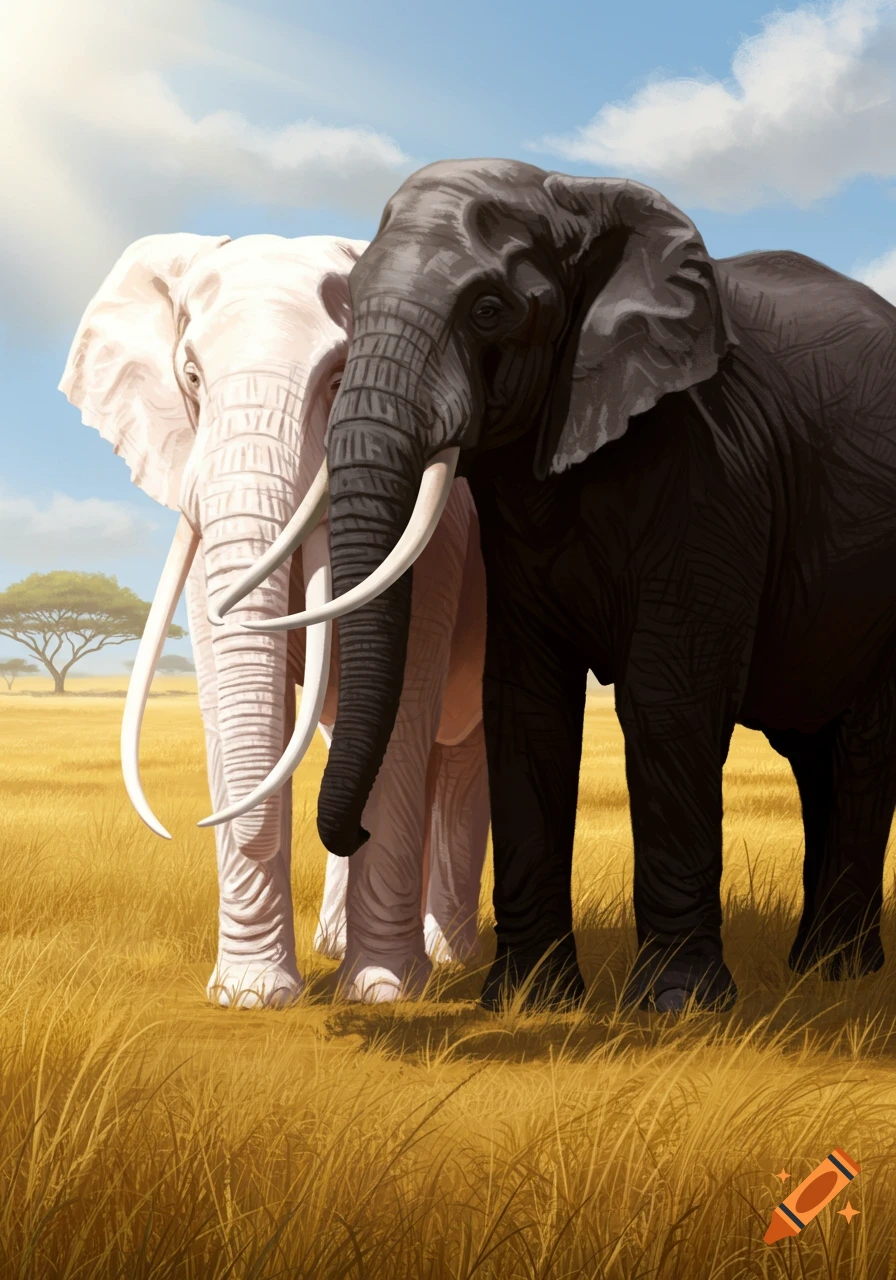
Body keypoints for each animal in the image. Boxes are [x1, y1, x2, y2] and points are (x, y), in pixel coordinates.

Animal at [59, 232, 489, 1007]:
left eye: (340, 378)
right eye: (191, 378)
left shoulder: (434, 533)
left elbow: (404, 701)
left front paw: (382, 994)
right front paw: (251, 996)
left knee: (459, 751)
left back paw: (451, 958)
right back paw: (343, 947)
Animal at [225, 158, 896, 1014]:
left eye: (488, 309)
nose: (357, 832)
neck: (576, 192)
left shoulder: (711, 474)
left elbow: (668, 702)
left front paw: (676, 1009)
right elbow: (525, 705)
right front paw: (527, 1000)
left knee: (862, 747)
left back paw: (837, 971)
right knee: (815, 751)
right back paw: (815, 965)